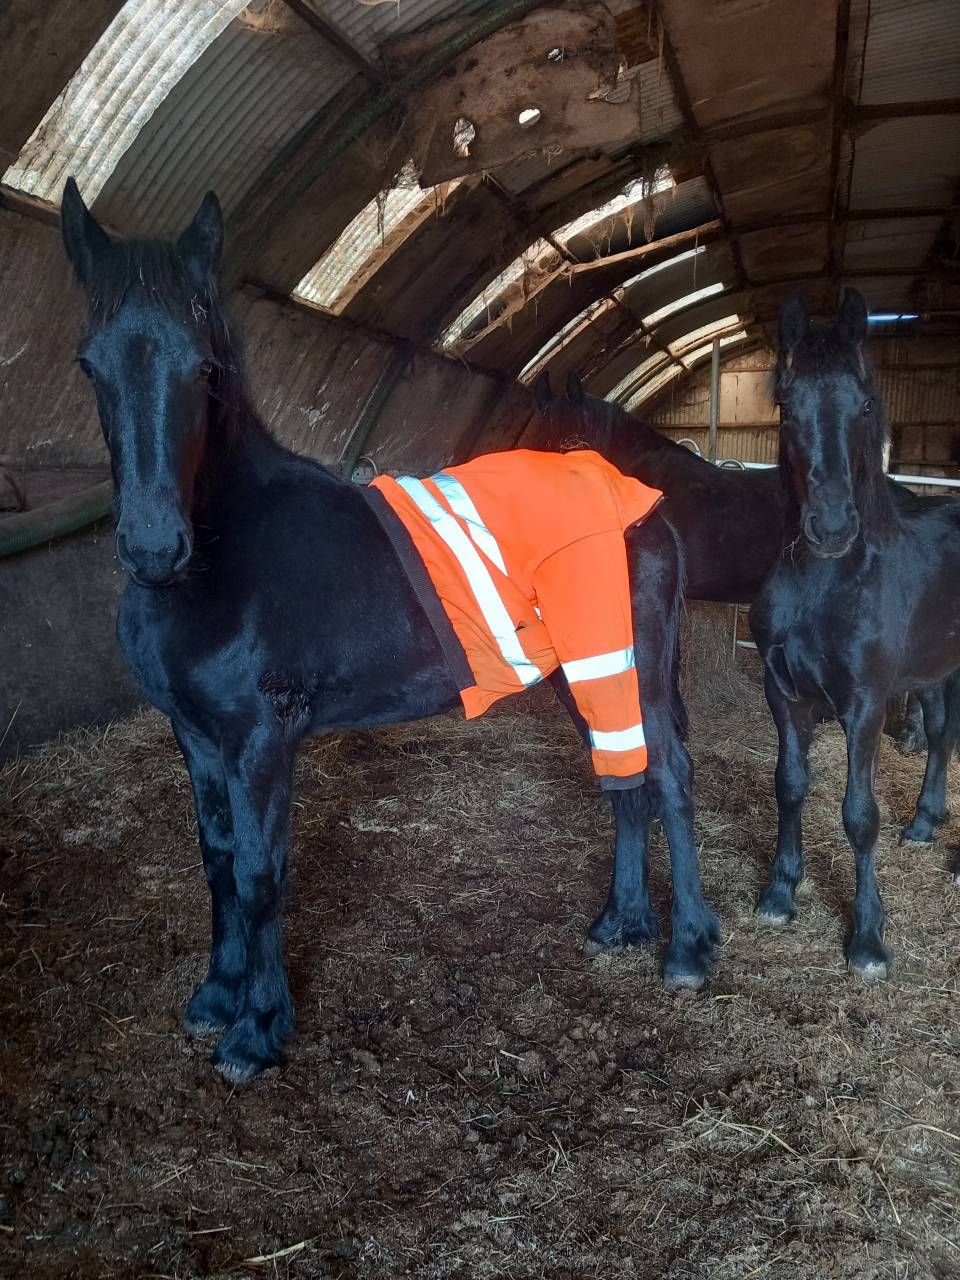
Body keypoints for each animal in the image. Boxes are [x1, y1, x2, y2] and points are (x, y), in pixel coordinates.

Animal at [59, 178, 720, 1082]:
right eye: (90, 364)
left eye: (203, 368)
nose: (155, 547)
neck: (227, 554)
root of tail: (638, 498)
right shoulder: (195, 738)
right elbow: (218, 862)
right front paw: (215, 998)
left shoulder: (262, 738)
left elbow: (261, 875)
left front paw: (256, 1030)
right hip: (584, 672)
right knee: (625, 776)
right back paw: (619, 925)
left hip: (634, 667)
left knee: (671, 777)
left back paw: (685, 950)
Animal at [749, 288, 960, 980]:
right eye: (788, 405)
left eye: (865, 403)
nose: (833, 526)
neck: (827, 585)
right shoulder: (784, 694)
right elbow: (790, 785)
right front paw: (781, 893)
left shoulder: (865, 704)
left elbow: (859, 815)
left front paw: (867, 937)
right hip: (935, 670)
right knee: (941, 735)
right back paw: (923, 825)